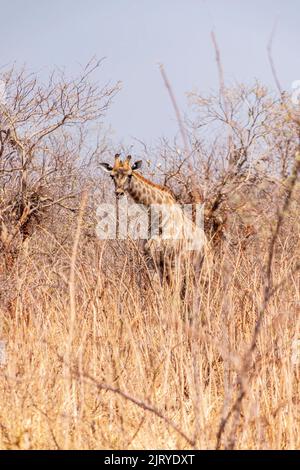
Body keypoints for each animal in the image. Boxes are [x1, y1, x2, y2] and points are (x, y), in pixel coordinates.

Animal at [99, 156, 207, 284]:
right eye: (112, 176)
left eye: (130, 175)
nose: (119, 193)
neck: (157, 218)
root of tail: (205, 241)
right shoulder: (151, 261)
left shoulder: (171, 261)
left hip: (198, 268)